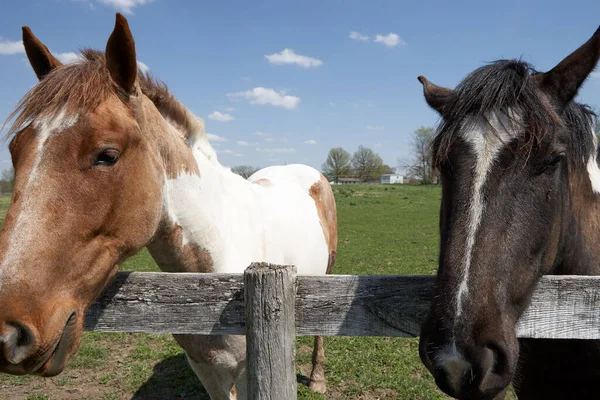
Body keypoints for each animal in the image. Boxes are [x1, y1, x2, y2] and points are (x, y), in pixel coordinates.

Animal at [0, 13, 338, 400]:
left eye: (108, 155)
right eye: (15, 150)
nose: (8, 335)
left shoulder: (249, 372)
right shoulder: (208, 370)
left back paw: (317, 377)